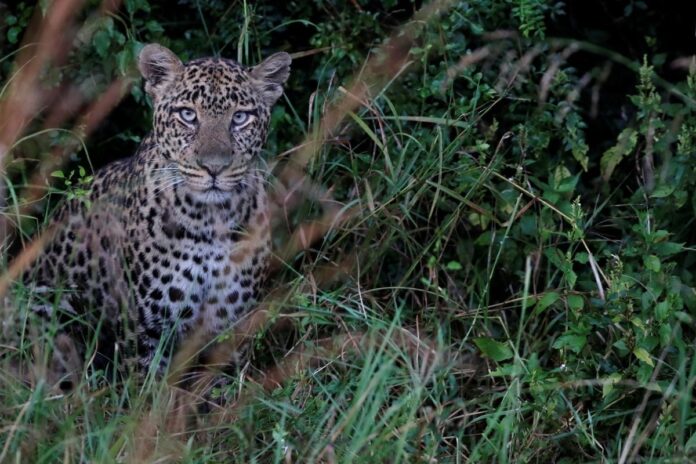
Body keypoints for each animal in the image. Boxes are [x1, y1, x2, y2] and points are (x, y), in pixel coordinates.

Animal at [13, 43, 291, 390]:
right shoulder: (147, 333)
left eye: (240, 118)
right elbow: (149, 395)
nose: (214, 168)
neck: (210, 223)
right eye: (188, 115)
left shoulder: (229, 328)